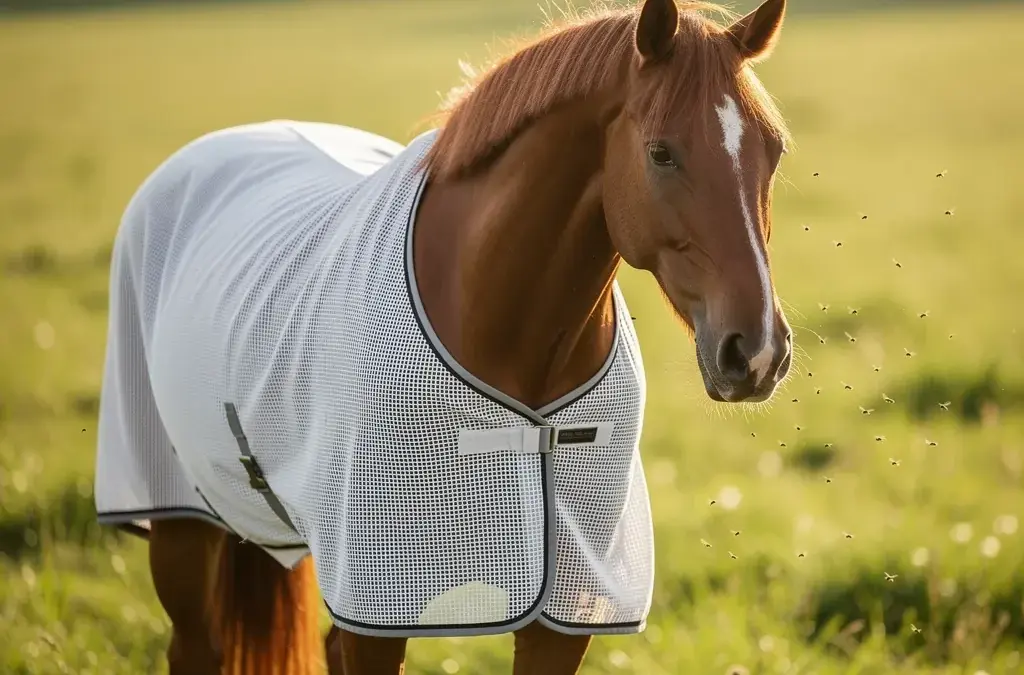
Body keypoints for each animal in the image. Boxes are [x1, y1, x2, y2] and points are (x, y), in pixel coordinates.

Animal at [92, 0, 794, 673]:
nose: (757, 351)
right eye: (661, 153)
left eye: (775, 150)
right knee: (194, 649)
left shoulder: (566, 609)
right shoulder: (377, 600)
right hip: (183, 523)